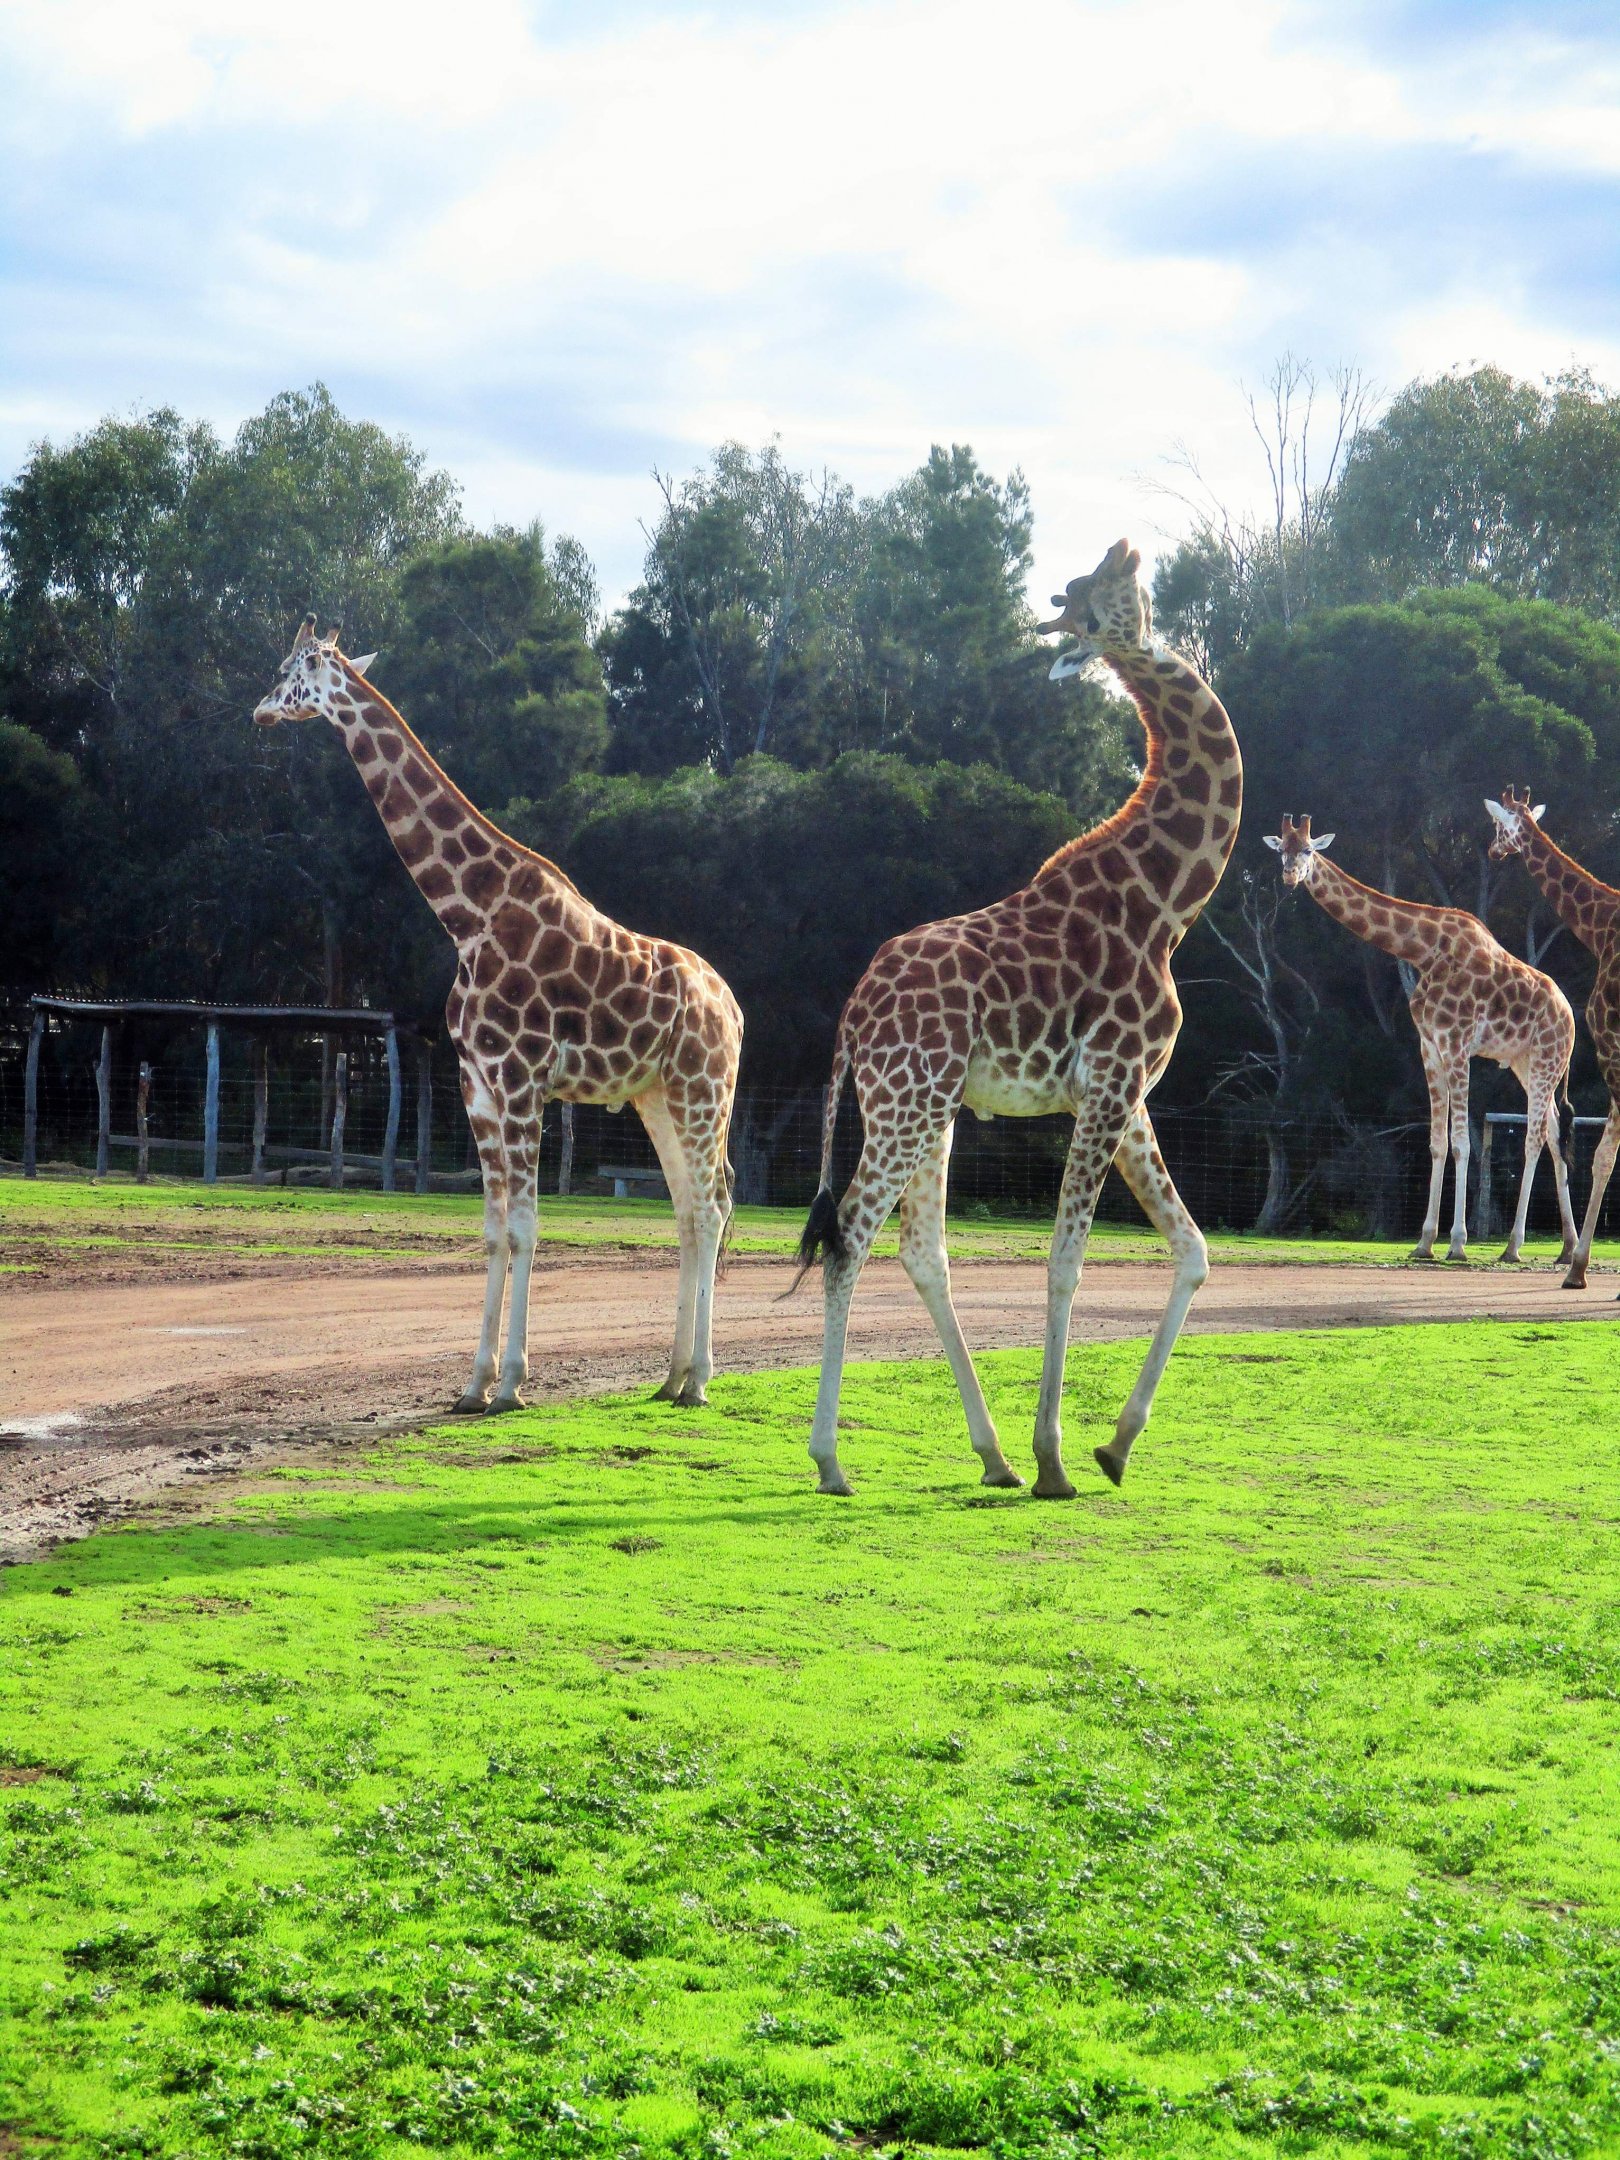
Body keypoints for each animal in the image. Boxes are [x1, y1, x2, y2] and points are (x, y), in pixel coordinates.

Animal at [253, 616, 742, 1411]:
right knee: (691, 1209)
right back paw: (671, 1376)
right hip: (657, 1096)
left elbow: (526, 1227)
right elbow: (490, 1230)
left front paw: (511, 1383)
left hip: (705, 1088)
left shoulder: (520, 1080)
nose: (260, 711)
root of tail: (732, 1008)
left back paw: (698, 1379)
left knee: (711, 1203)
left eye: (291, 669)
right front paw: (472, 1383)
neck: (467, 915)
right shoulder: (476, 1085)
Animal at [789, 539, 1241, 1498]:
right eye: (1101, 595)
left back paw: (988, 1455)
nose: (1125, 550)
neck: (1170, 904)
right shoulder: (1108, 1087)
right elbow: (1067, 1264)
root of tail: (853, 1015)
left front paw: (1116, 1445)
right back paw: (833, 1460)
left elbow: (1192, 1249)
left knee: (921, 1251)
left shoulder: (1128, 1096)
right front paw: (1056, 1458)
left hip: (928, 1108)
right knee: (849, 1236)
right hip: (907, 1103)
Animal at [1266, 814, 1577, 1266]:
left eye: (1308, 849)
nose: (1291, 876)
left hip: (1546, 1059)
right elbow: (1436, 1143)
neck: (1423, 950)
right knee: (1553, 1132)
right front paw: (1425, 1242)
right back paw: (1568, 1248)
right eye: (1281, 850)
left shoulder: (1458, 1044)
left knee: (1534, 1138)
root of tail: (1571, 1018)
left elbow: (1462, 1143)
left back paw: (1513, 1246)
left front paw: (1458, 1242)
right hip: (1526, 1063)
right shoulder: (1429, 1046)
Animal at [1485, 785, 1620, 1289]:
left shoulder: (1610, 1045)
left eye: (1498, 825)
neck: (1601, 928)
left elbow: (1602, 1155)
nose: (1492, 850)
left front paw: (1578, 1269)